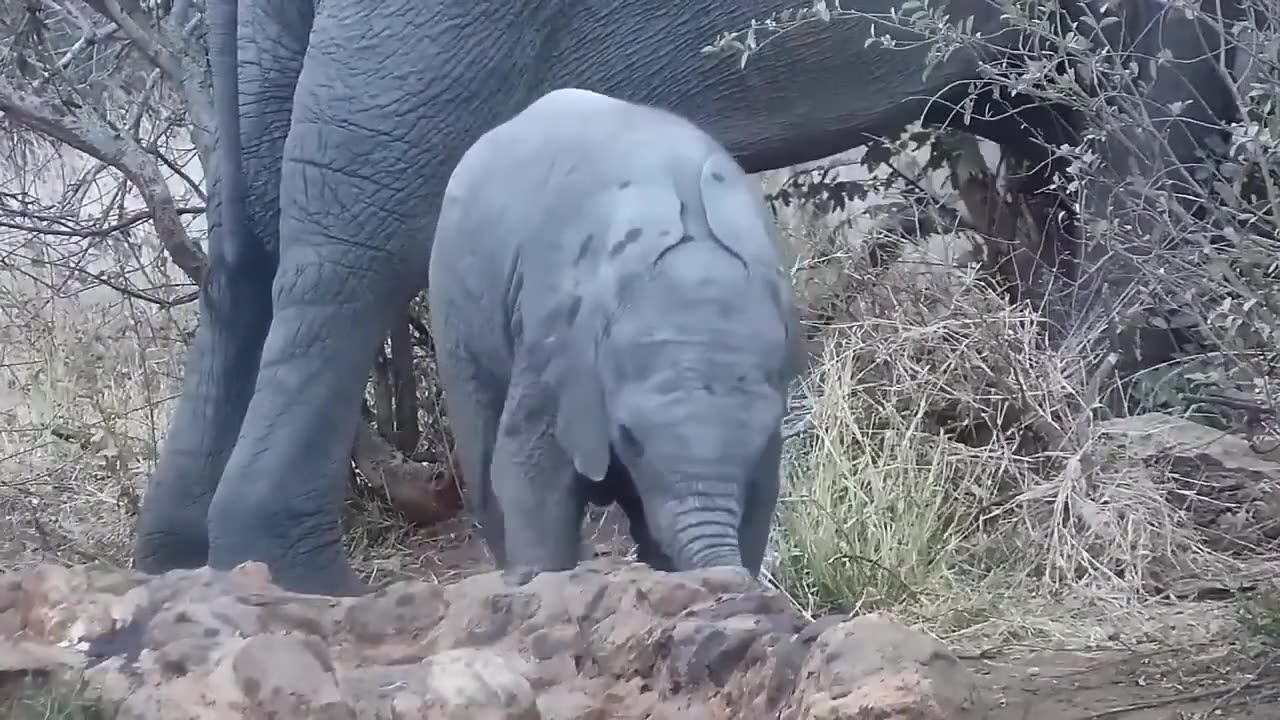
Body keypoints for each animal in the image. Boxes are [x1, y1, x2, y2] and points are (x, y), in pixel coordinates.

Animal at [435, 87, 803, 576]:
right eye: (629, 437)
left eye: (762, 437)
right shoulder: (556, 335)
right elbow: (530, 475)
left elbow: (761, 496)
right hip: (453, 297)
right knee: (480, 460)